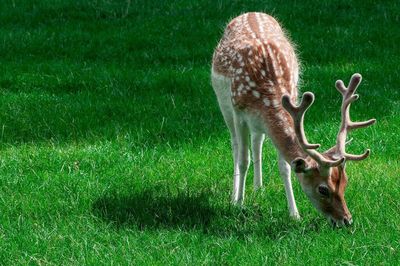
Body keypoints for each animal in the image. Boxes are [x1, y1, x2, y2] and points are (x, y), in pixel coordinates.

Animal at [211, 12, 376, 227]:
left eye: (345, 182)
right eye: (323, 189)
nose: (347, 220)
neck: (266, 96)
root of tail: (250, 12)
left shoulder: (291, 100)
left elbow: (285, 167)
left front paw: (294, 214)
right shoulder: (239, 114)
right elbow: (242, 160)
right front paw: (239, 205)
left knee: (257, 141)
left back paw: (258, 188)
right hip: (224, 104)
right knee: (236, 146)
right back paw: (235, 195)